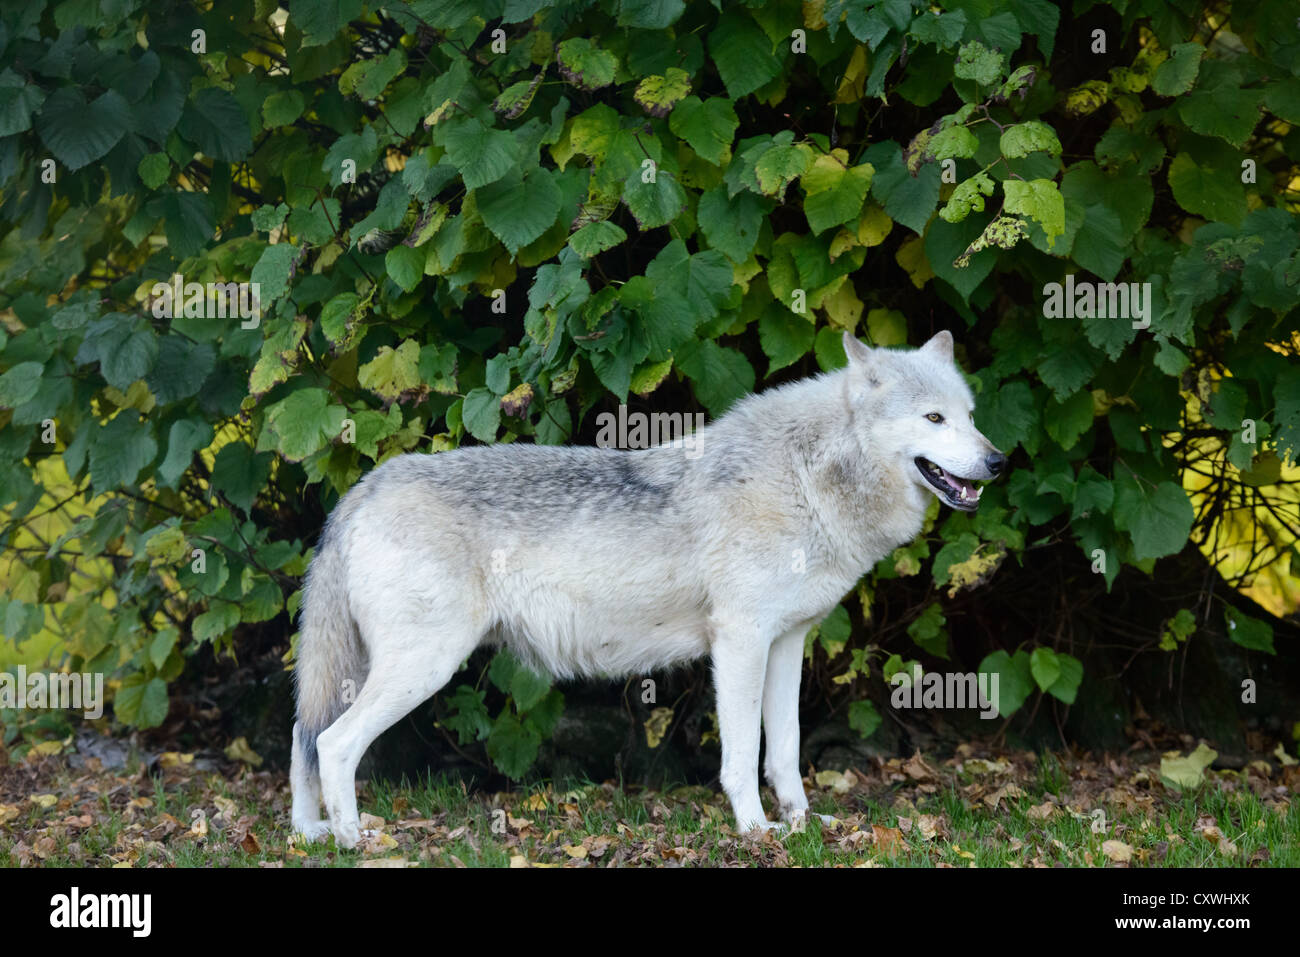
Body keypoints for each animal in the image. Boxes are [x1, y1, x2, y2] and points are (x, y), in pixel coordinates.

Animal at [290, 330, 1006, 846]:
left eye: (972, 417)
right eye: (933, 417)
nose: (998, 460)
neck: (807, 478)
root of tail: (362, 489)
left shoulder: (786, 643)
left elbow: (785, 753)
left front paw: (804, 826)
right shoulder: (739, 642)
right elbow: (742, 756)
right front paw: (757, 832)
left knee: (304, 741)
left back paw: (310, 834)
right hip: (422, 668)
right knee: (333, 744)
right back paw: (354, 840)